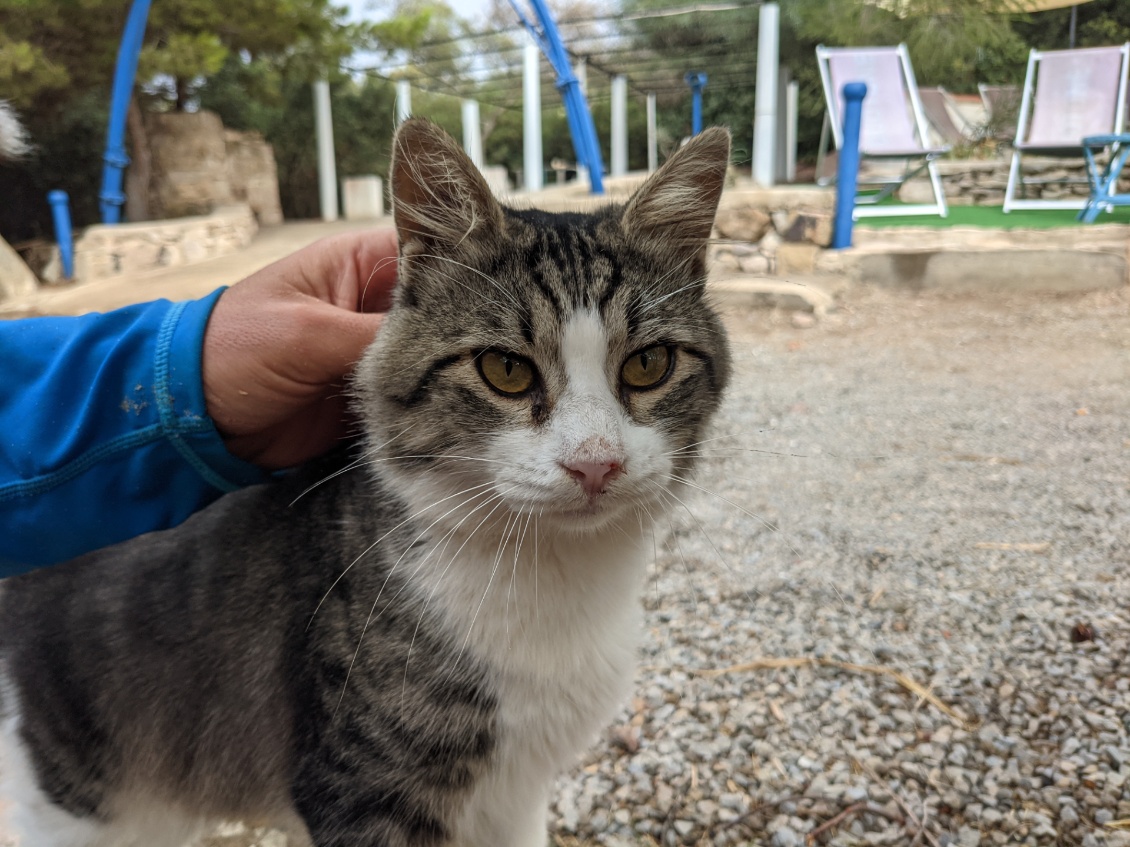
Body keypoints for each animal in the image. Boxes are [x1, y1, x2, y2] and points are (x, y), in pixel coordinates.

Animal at [0, 119, 732, 847]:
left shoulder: (516, 795)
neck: (553, 572)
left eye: (649, 364)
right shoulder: (364, 791)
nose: (594, 462)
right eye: (505, 370)